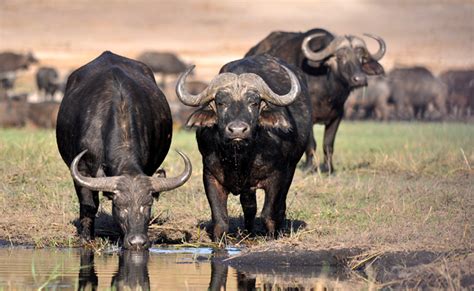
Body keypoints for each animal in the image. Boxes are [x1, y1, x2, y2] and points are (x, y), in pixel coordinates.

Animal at [57, 51, 193, 250]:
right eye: (120, 206)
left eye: (148, 205)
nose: (137, 241)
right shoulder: (81, 169)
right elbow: (89, 204)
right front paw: (85, 238)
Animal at [176, 54, 312, 242]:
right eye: (221, 102)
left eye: (254, 103)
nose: (238, 130)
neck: (240, 157)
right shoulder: (210, 176)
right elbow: (220, 218)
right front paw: (219, 241)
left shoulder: (277, 177)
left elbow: (268, 213)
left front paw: (272, 236)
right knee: (249, 206)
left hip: (290, 170)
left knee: (279, 205)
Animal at [244, 29, 386, 173]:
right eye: (340, 57)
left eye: (361, 59)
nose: (360, 79)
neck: (327, 90)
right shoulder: (308, 118)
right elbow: (311, 144)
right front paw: (309, 168)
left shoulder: (337, 116)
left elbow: (328, 144)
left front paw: (329, 169)